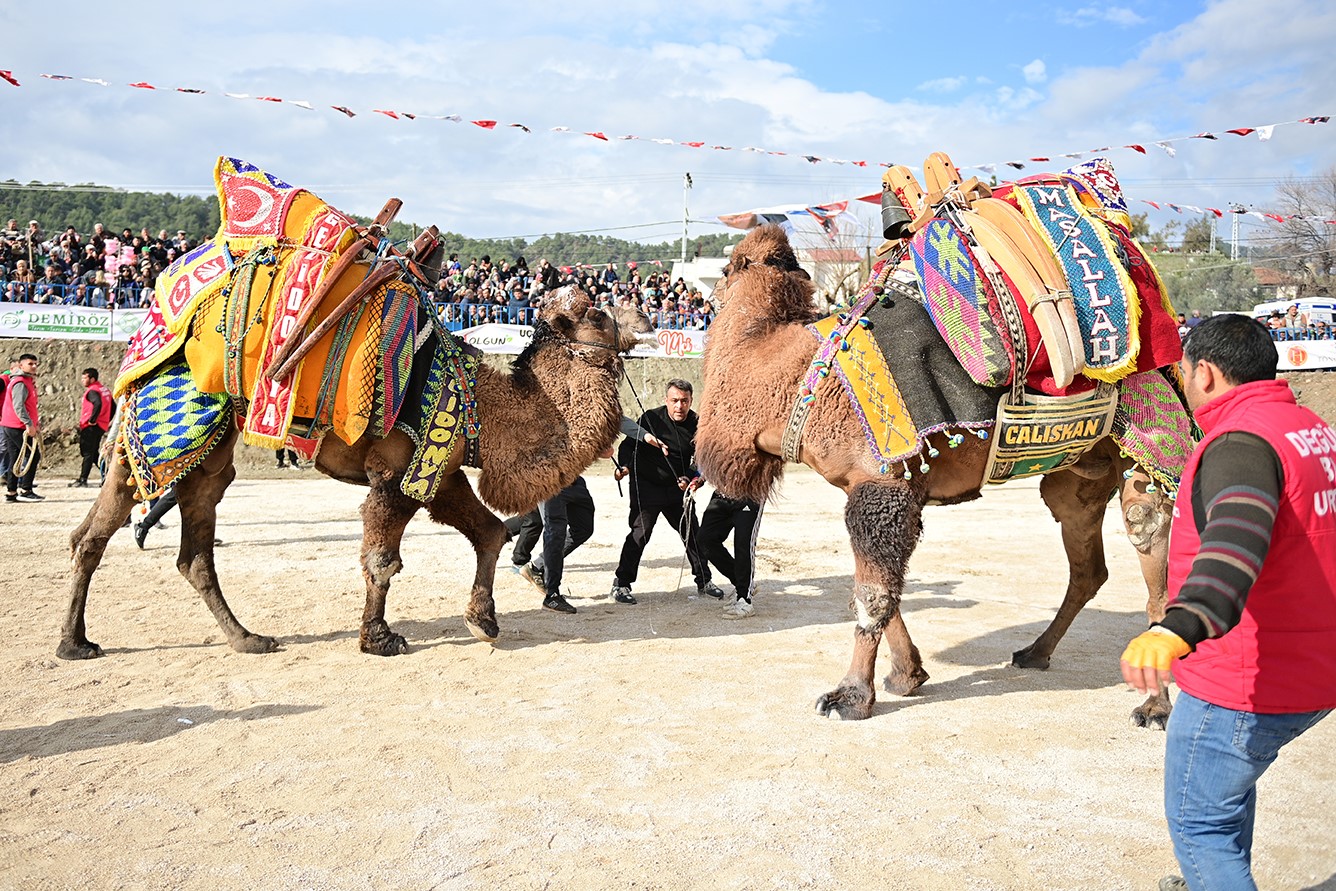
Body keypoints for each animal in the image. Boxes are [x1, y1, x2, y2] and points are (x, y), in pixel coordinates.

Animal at [62, 287, 646, 662]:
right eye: (597, 312)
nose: (643, 318)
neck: (482, 404)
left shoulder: (439, 471)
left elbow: (489, 533)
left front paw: (483, 621)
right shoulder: (395, 471)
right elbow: (383, 559)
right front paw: (378, 639)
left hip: (202, 453)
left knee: (183, 549)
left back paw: (246, 639)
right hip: (167, 432)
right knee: (100, 533)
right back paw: (75, 644)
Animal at [694, 227, 1175, 726]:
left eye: (725, 270)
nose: (709, 295)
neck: (798, 378)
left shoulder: (882, 485)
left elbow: (872, 596)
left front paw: (850, 697)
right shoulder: (876, 491)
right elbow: (883, 591)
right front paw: (907, 676)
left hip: (1146, 445)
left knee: (1149, 542)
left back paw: (1154, 707)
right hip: (1076, 474)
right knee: (1087, 566)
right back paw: (1034, 653)